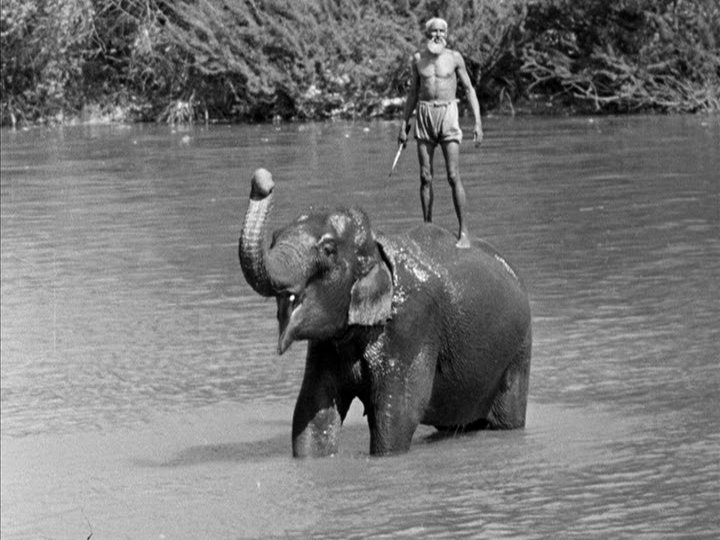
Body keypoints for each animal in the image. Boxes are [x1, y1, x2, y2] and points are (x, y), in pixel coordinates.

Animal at [238, 168, 531, 457]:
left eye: (328, 250)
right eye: (274, 238)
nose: (262, 181)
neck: (375, 248)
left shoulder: (412, 326)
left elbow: (395, 415)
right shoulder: (326, 345)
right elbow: (312, 411)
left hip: (518, 354)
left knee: (506, 419)